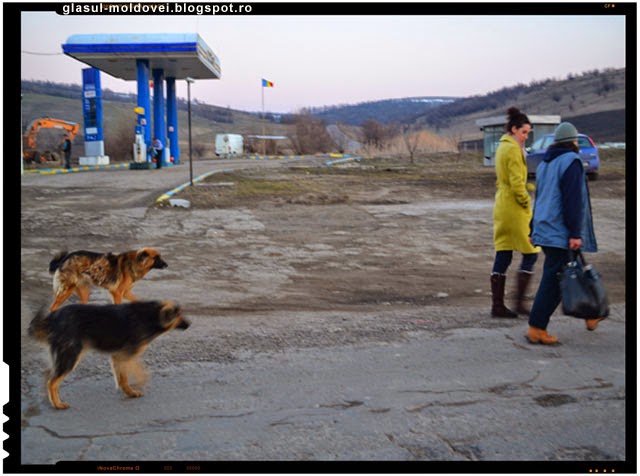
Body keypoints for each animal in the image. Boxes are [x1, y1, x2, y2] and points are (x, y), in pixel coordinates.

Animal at [28, 302, 189, 410]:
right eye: (179, 315)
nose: (190, 324)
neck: (151, 315)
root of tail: (51, 318)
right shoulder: (125, 355)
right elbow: (138, 372)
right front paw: (136, 386)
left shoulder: (118, 357)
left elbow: (122, 377)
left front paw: (128, 391)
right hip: (71, 356)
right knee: (52, 381)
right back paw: (57, 404)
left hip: (63, 355)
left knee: (48, 374)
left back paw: (48, 398)